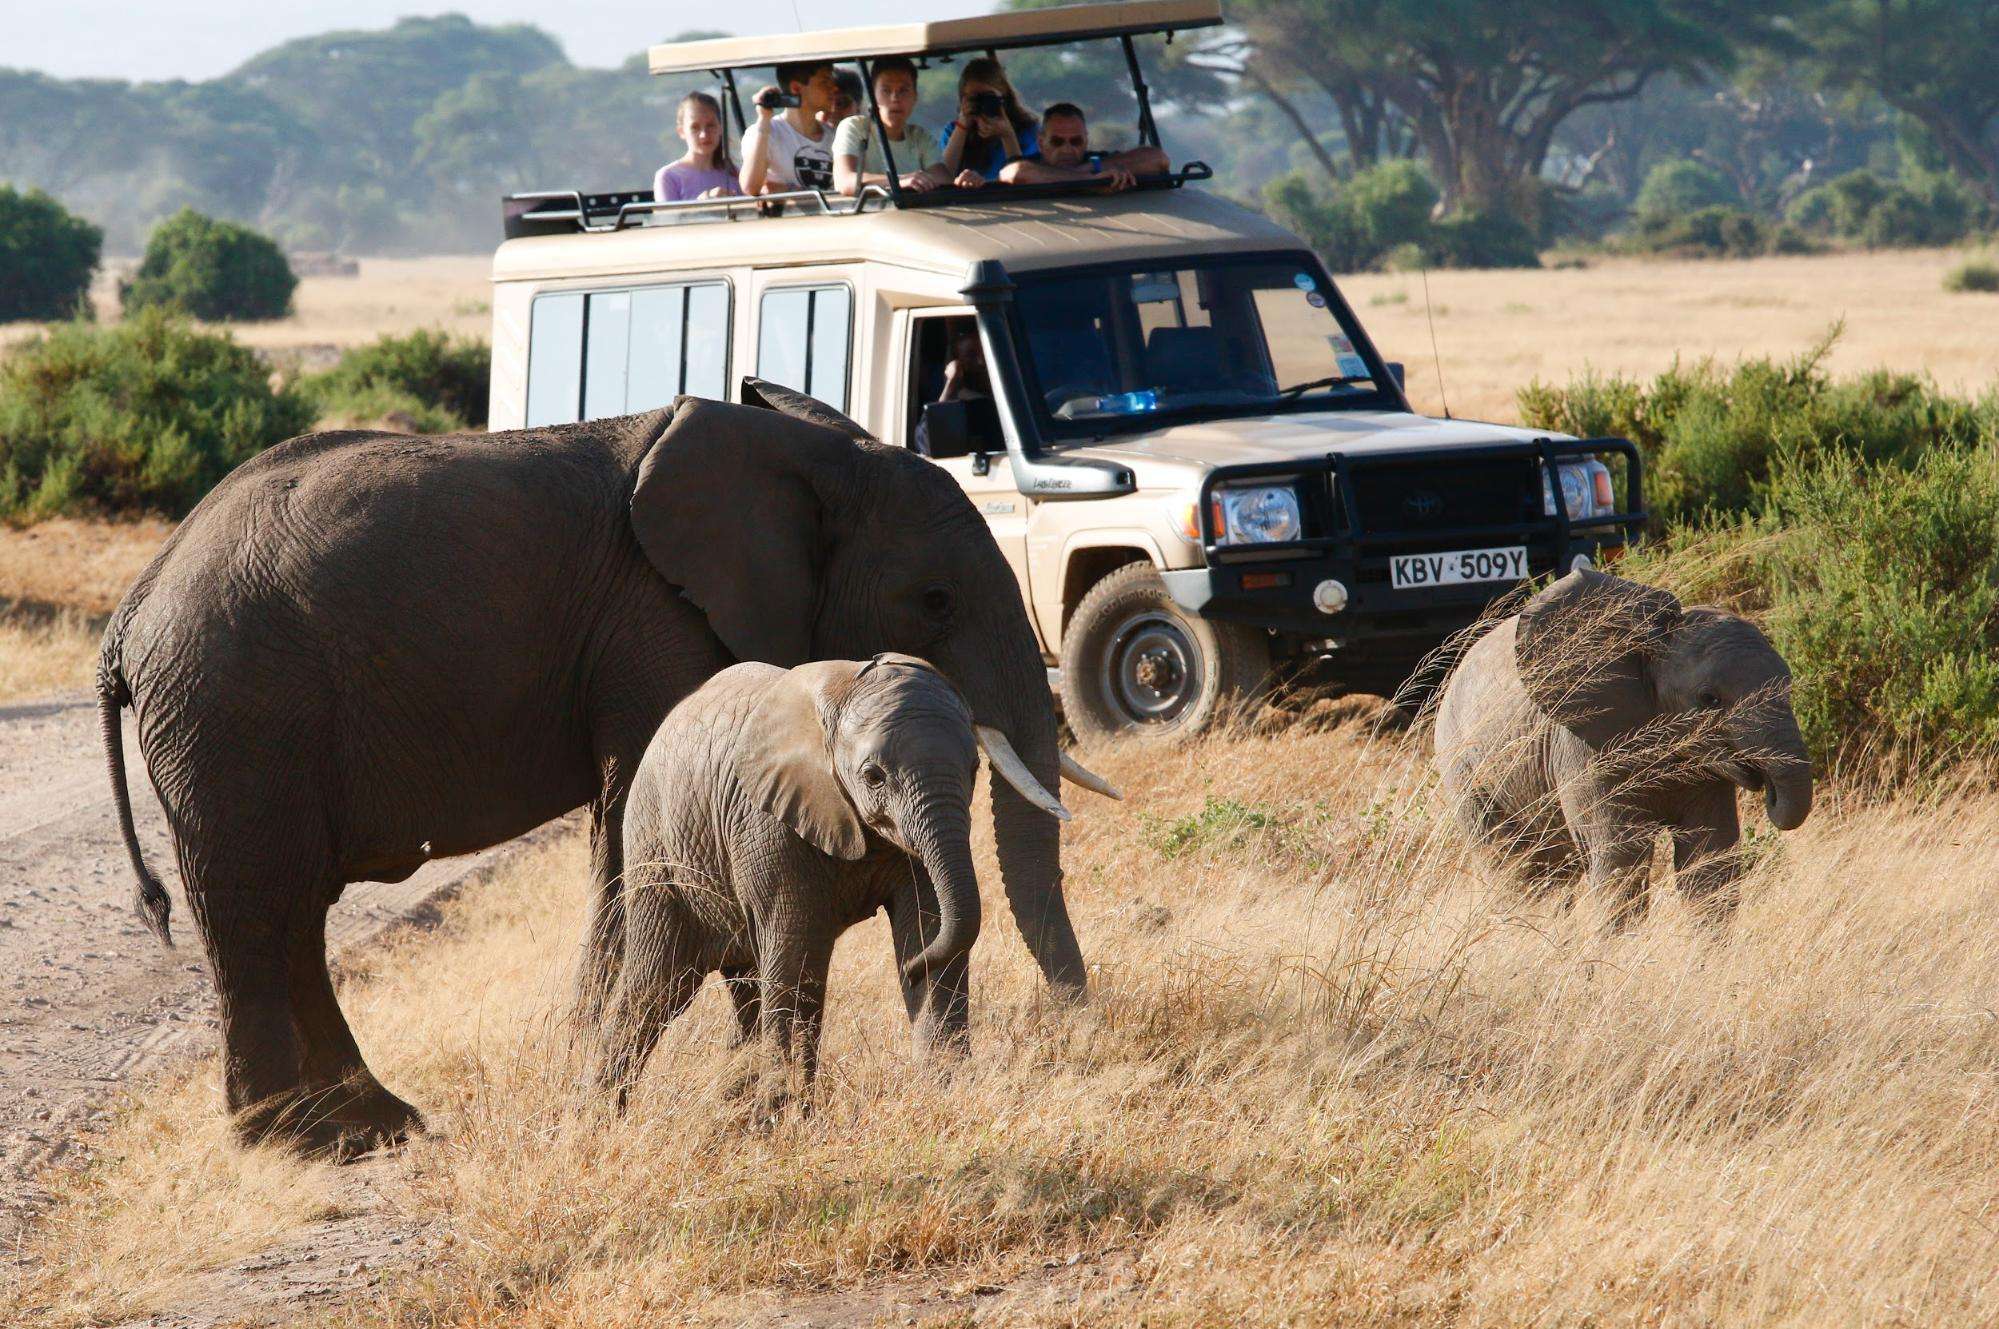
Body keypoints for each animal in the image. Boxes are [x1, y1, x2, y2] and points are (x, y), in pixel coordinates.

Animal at [583, 651, 1071, 1095]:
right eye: (874, 777)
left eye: (973, 769)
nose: (910, 971)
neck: (844, 692)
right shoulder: (767, 822)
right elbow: (799, 961)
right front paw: (790, 1116)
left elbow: (930, 927)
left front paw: (944, 1088)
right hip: (658, 853)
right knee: (656, 990)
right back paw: (601, 1116)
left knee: (744, 987)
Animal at [1439, 563, 1815, 919]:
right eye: (1709, 699)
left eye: (1788, 686)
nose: (1768, 789)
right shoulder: (1585, 748)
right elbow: (1621, 861)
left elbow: (1710, 856)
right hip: (1465, 774)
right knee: (1513, 868)